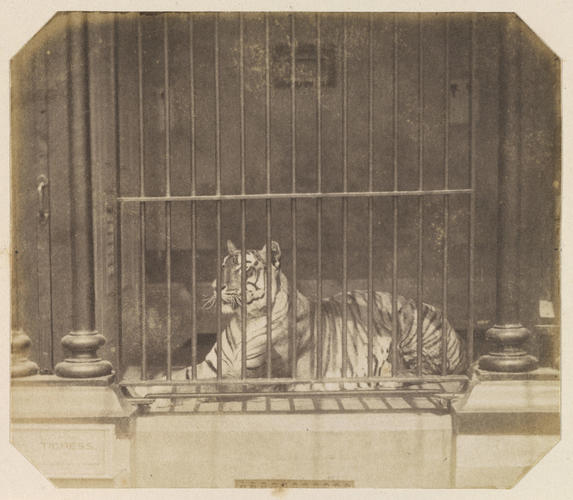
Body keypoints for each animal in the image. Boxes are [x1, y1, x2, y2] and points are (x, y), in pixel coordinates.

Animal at [164, 238, 464, 386]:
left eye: (244, 269)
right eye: (224, 266)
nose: (216, 286)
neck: (243, 320)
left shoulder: (251, 372)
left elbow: (207, 384)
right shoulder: (211, 365)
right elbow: (174, 377)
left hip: (411, 324)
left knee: (429, 373)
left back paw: (389, 378)